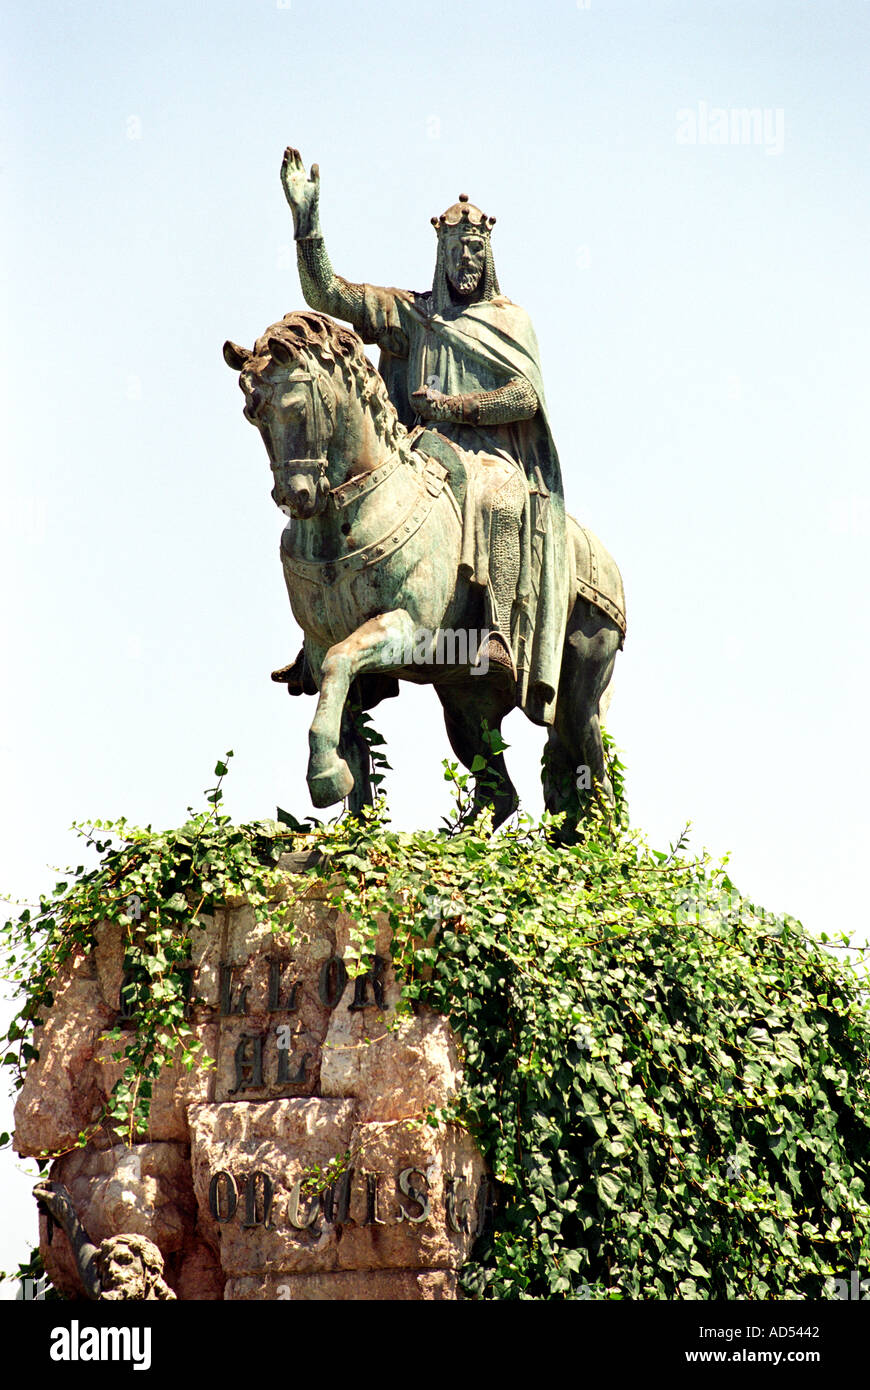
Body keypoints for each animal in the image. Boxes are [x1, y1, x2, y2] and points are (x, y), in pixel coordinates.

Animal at [225, 315, 622, 834]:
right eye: (253, 413)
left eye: (295, 405)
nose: (296, 497)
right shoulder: (319, 647)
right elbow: (349, 728)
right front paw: (354, 821)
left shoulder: (407, 628)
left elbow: (341, 663)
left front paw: (325, 778)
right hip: (466, 702)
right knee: (501, 793)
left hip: (575, 695)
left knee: (596, 779)